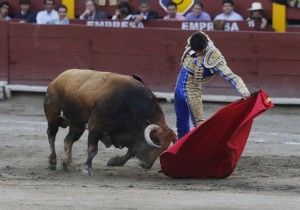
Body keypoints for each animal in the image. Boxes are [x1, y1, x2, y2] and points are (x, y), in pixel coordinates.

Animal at [43, 69, 177, 176]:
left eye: (166, 147)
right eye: (155, 140)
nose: (146, 165)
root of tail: (57, 79)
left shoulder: (131, 135)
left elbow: (131, 152)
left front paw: (114, 161)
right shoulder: (95, 125)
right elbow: (93, 149)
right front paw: (87, 169)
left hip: (77, 125)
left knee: (68, 141)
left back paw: (69, 164)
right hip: (53, 117)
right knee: (52, 137)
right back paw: (52, 162)